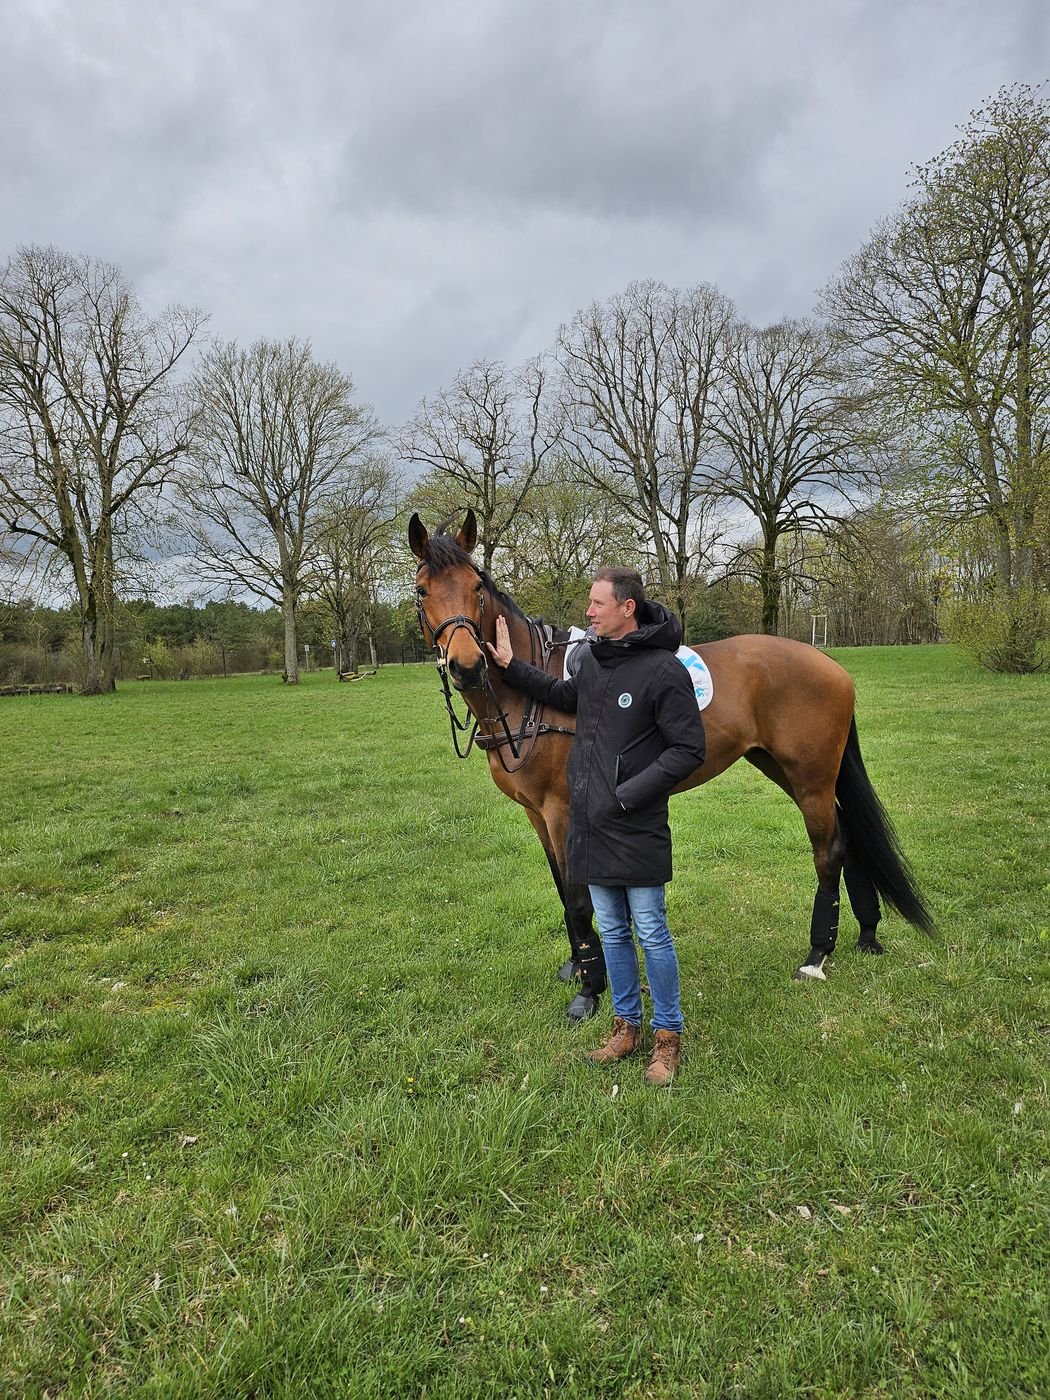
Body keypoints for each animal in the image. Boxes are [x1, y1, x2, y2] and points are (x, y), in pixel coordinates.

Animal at [409, 510, 933, 1019]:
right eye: (422, 590)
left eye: (476, 587)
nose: (468, 665)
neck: (533, 695)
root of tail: (832, 666)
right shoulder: (536, 814)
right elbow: (561, 888)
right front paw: (577, 966)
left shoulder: (562, 811)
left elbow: (578, 899)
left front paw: (591, 989)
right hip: (788, 770)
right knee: (849, 838)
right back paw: (866, 933)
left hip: (811, 780)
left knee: (830, 851)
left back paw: (817, 954)